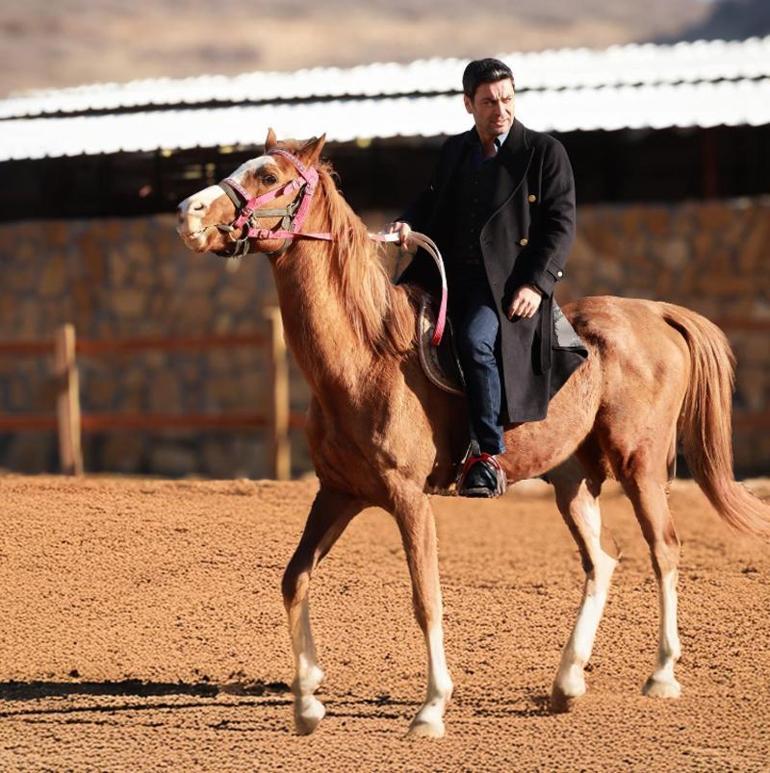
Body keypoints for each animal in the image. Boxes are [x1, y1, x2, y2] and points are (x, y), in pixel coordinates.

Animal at [177, 128, 768, 736]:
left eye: (269, 176)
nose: (188, 213)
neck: (366, 355)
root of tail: (655, 313)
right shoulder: (337, 493)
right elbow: (294, 579)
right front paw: (307, 702)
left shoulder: (408, 497)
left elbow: (426, 598)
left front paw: (431, 708)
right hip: (572, 481)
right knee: (601, 561)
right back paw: (567, 683)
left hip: (640, 465)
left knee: (664, 549)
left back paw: (661, 675)